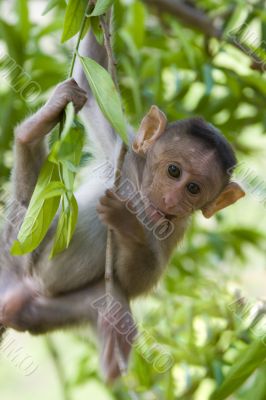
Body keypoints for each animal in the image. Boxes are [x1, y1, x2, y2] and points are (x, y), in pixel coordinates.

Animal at [0, 29, 245, 380]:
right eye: (174, 171)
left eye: (194, 189)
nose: (171, 200)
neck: (140, 193)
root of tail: (14, 290)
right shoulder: (124, 150)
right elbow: (90, 84)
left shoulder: (176, 228)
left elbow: (136, 282)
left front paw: (128, 223)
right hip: (15, 249)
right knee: (31, 207)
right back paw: (32, 131)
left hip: (41, 311)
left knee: (112, 303)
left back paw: (113, 365)